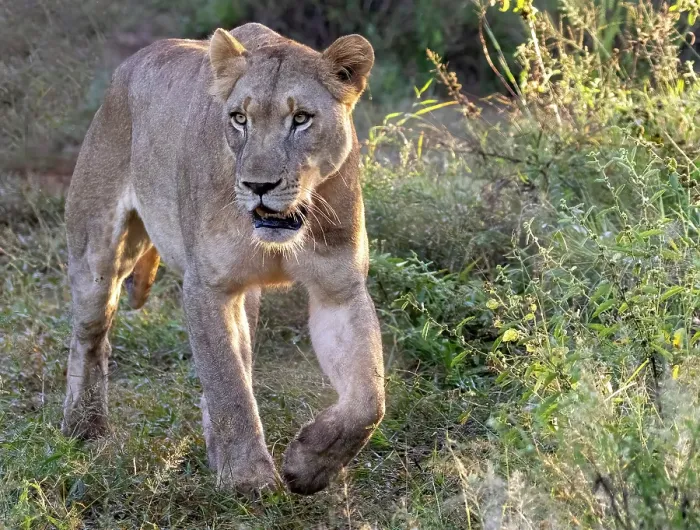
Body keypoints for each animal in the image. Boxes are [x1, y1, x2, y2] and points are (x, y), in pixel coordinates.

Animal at [61, 23, 385, 495]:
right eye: (239, 119)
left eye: (301, 119)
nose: (258, 185)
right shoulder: (208, 287)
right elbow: (227, 384)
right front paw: (248, 479)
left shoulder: (339, 290)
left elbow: (368, 400)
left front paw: (310, 465)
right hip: (98, 254)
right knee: (91, 336)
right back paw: (83, 427)